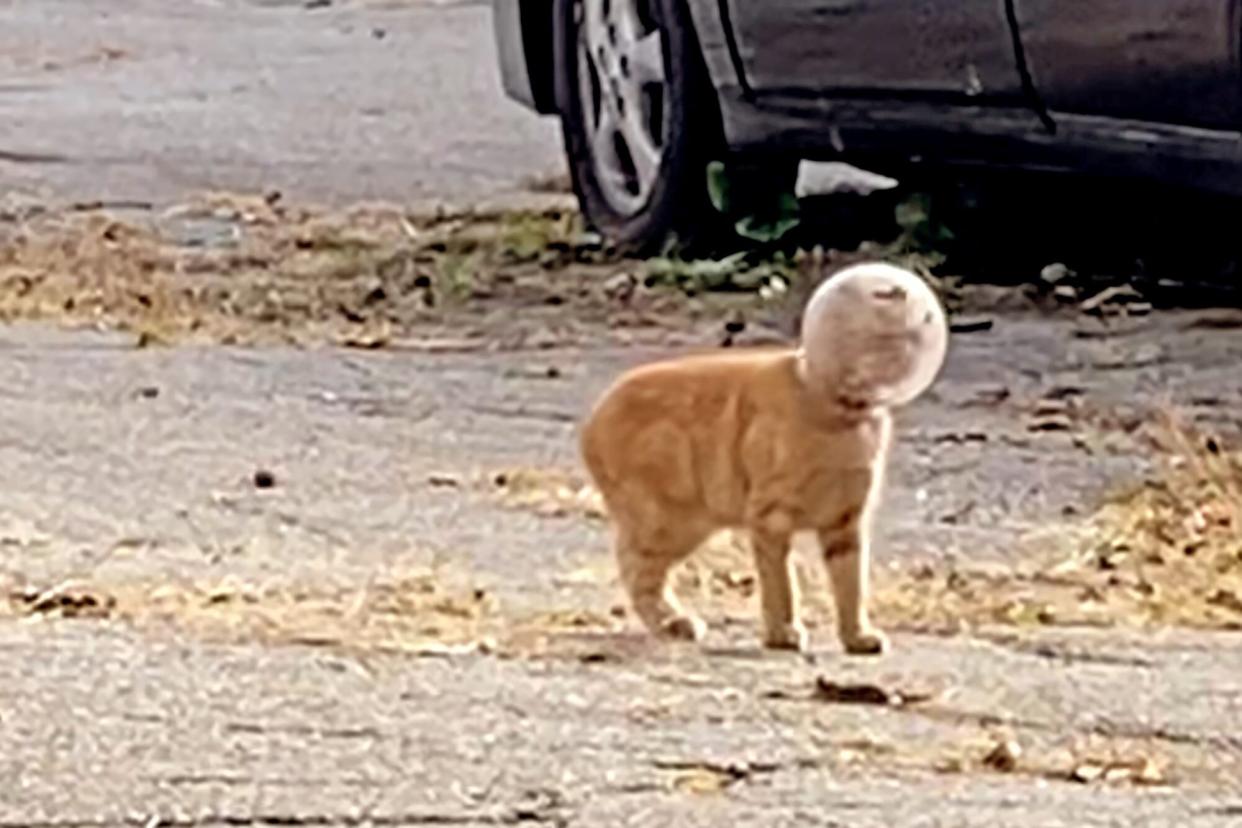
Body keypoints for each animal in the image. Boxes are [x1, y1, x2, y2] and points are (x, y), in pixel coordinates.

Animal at [576, 264, 943, 655]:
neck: (842, 419)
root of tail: (593, 419)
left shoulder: (847, 523)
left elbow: (851, 586)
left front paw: (857, 636)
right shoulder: (770, 518)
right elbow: (781, 584)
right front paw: (782, 633)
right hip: (669, 522)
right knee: (634, 566)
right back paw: (672, 623)